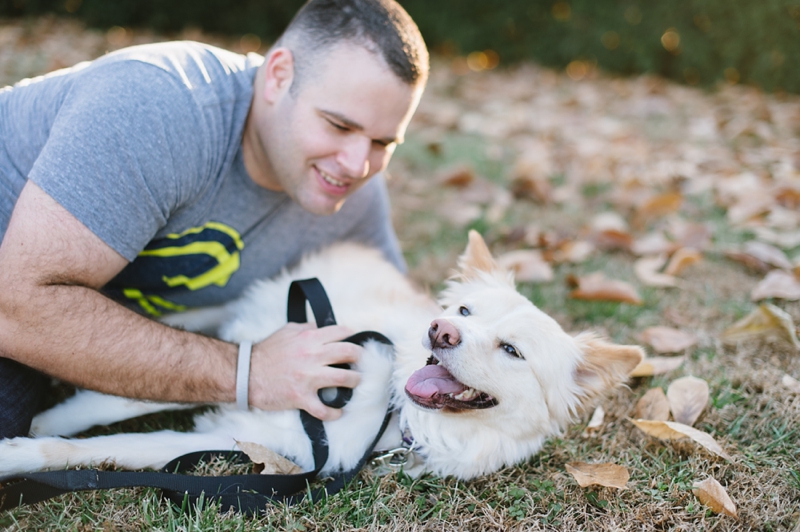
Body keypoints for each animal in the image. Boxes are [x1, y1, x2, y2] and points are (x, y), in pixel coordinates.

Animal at [0, 231, 644, 480]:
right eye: (465, 312)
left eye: (512, 350)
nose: (440, 333)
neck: (391, 412)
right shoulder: (274, 357)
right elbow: (115, 401)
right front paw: (41, 425)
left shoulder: (251, 439)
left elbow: (116, 444)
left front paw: (29, 443)